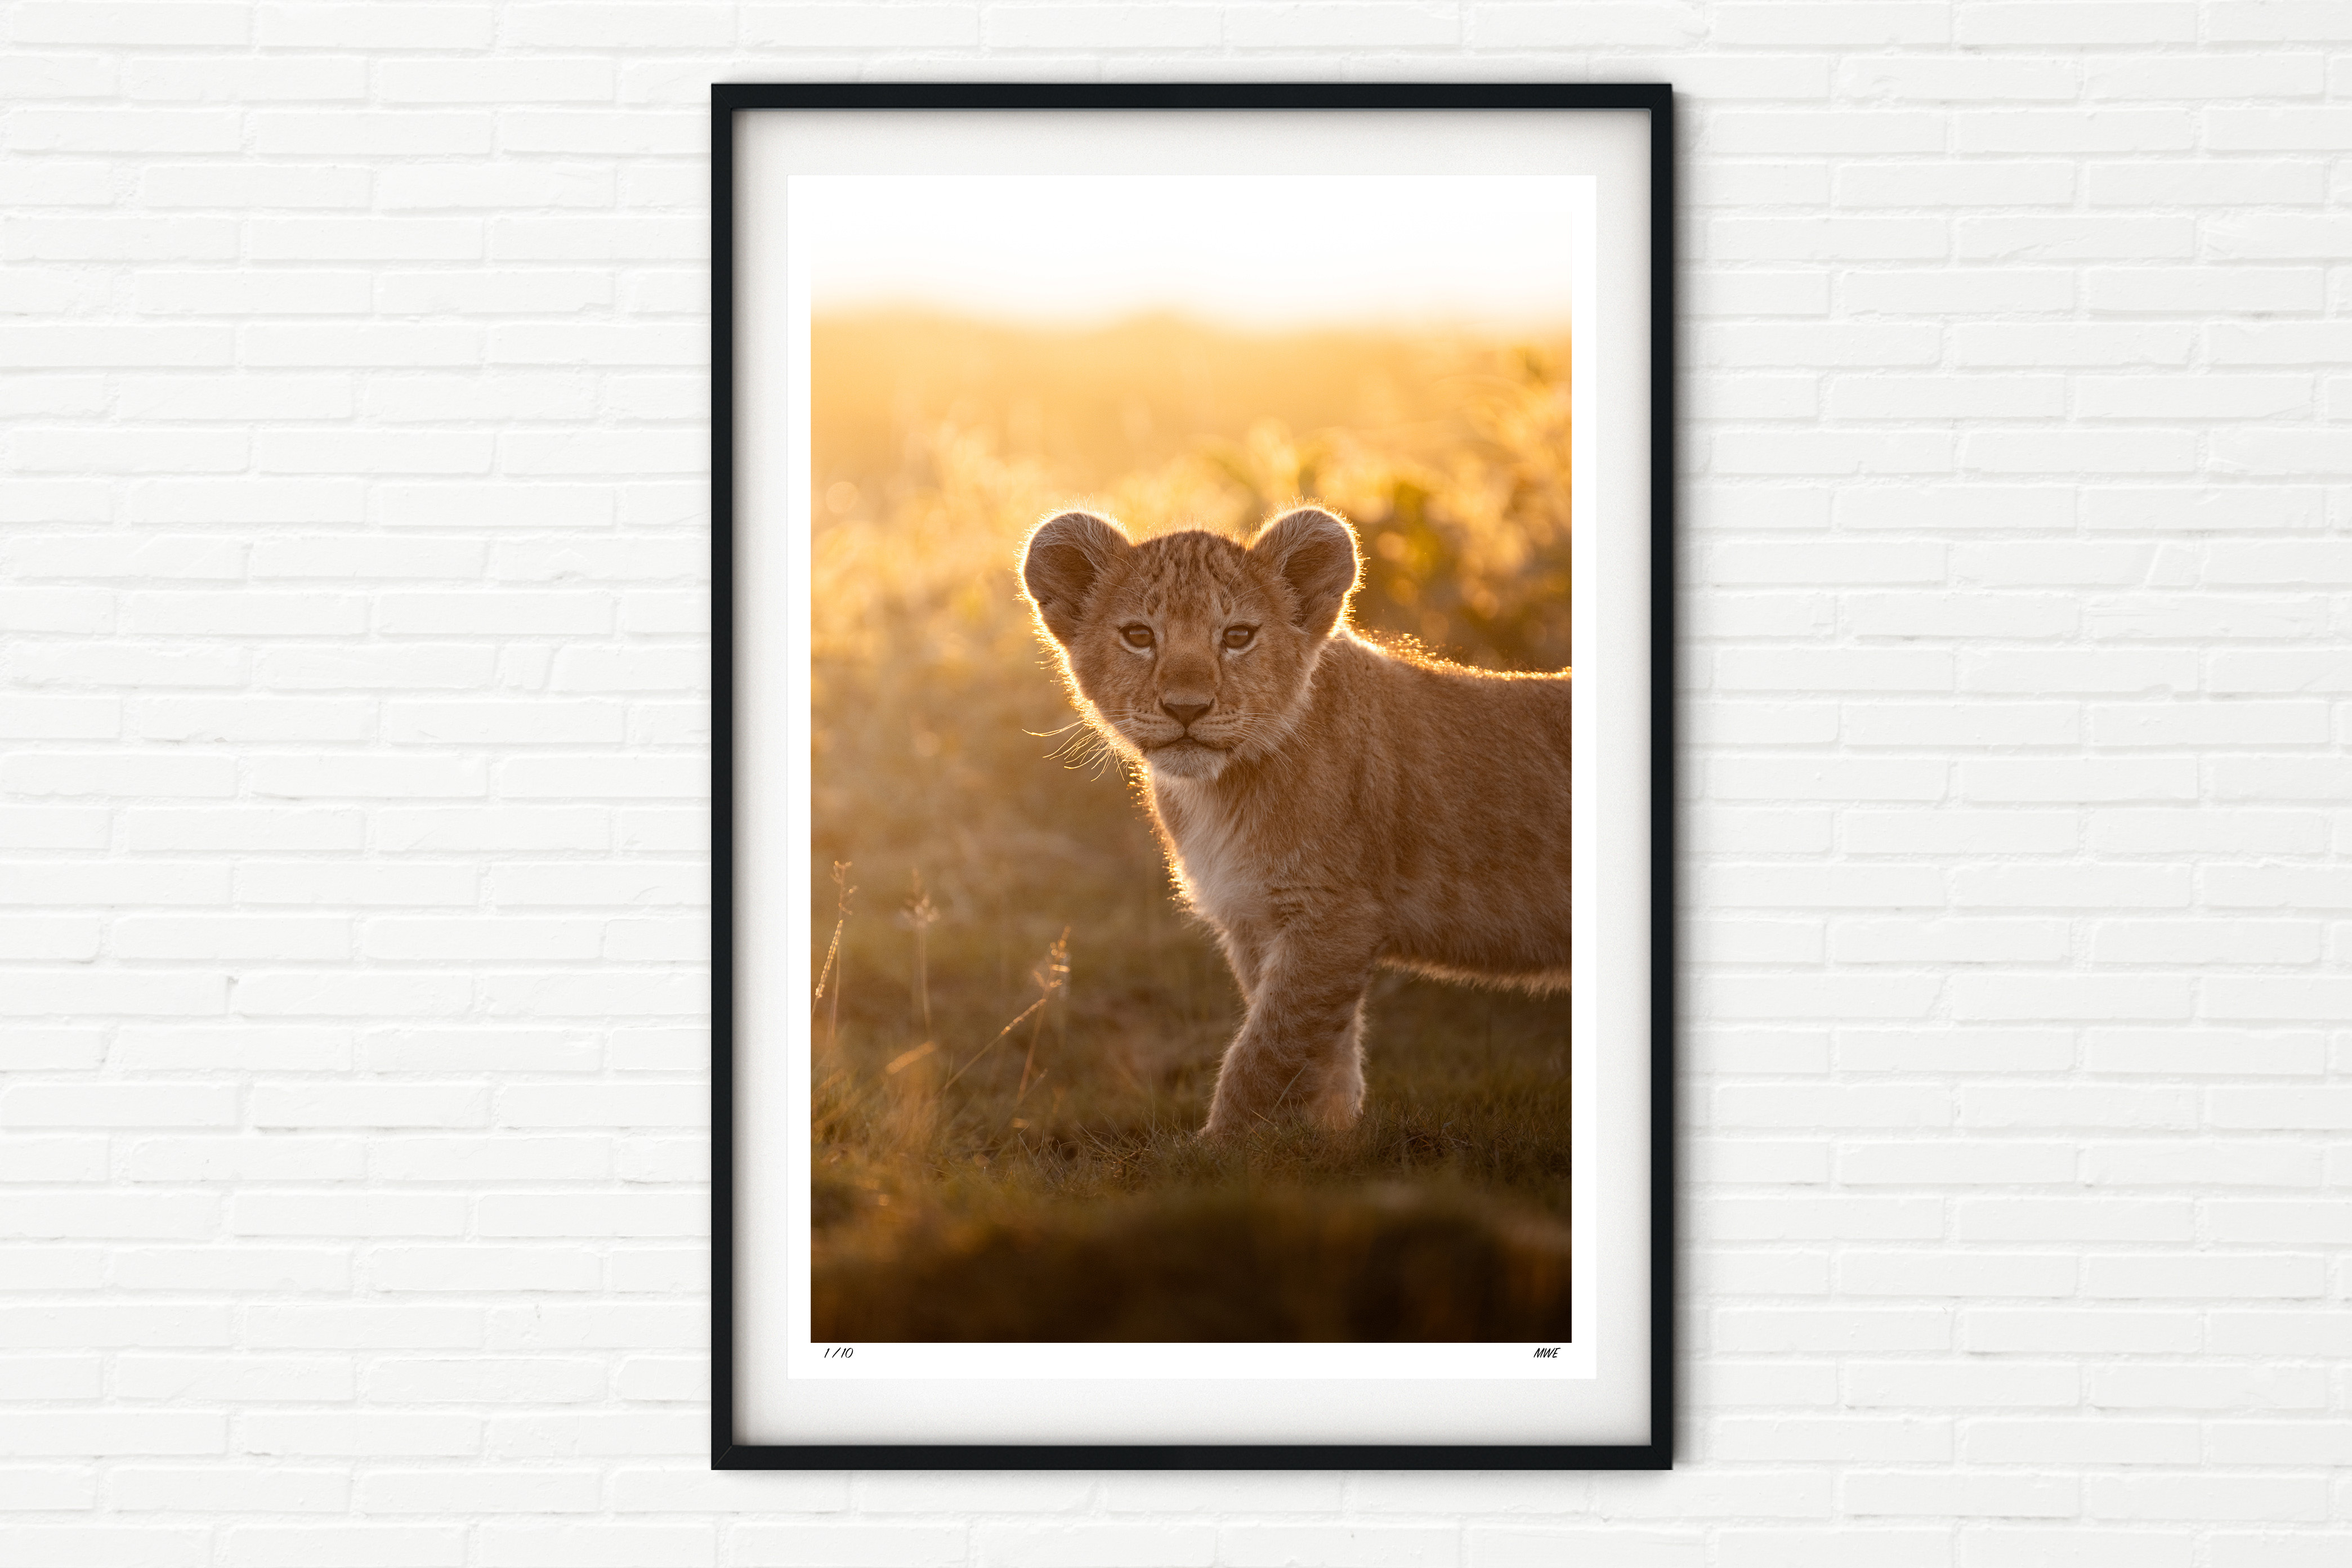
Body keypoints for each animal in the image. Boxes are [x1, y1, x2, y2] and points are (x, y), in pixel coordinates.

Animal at [1021, 504, 1571, 1136]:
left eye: (1238, 636)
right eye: (1139, 636)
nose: (1186, 708)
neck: (1221, 792)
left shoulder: (1335, 914)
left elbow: (1266, 1048)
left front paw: (1219, 1145)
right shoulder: (1255, 917)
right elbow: (1320, 1047)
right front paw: (1325, 1138)